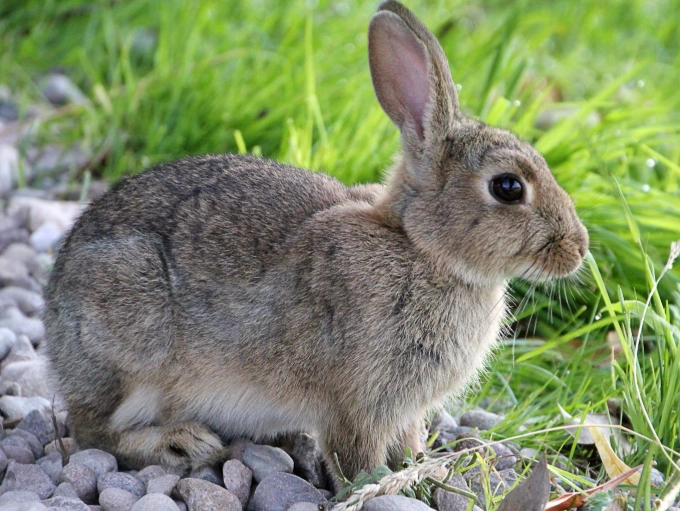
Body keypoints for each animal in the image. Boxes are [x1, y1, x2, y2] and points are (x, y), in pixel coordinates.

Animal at [44, 0, 588, 483]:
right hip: (128, 340)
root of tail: (53, 317)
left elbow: (406, 440)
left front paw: (419, 468)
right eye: (508, 187)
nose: (578, 248)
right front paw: (383, 484)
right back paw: (181, 442)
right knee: (93, 432)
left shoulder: (403, 408)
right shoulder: (357, 400)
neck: (421, 249)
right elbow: (357, 454)